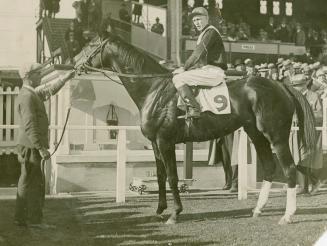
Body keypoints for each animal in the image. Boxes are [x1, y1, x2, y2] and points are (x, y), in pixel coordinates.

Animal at [77, 34, 318, 225]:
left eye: (90, 45)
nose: (75, 63)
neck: (154, 89)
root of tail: (281, 84)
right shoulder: (155, 143)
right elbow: (160, 176)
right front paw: (159, 210)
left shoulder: (165, 141)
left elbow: (173, 177)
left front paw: (175, 214)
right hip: (256, 134)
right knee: (269, 167)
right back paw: (258, 209)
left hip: (276, 136)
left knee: (289, 169)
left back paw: (287, 215)